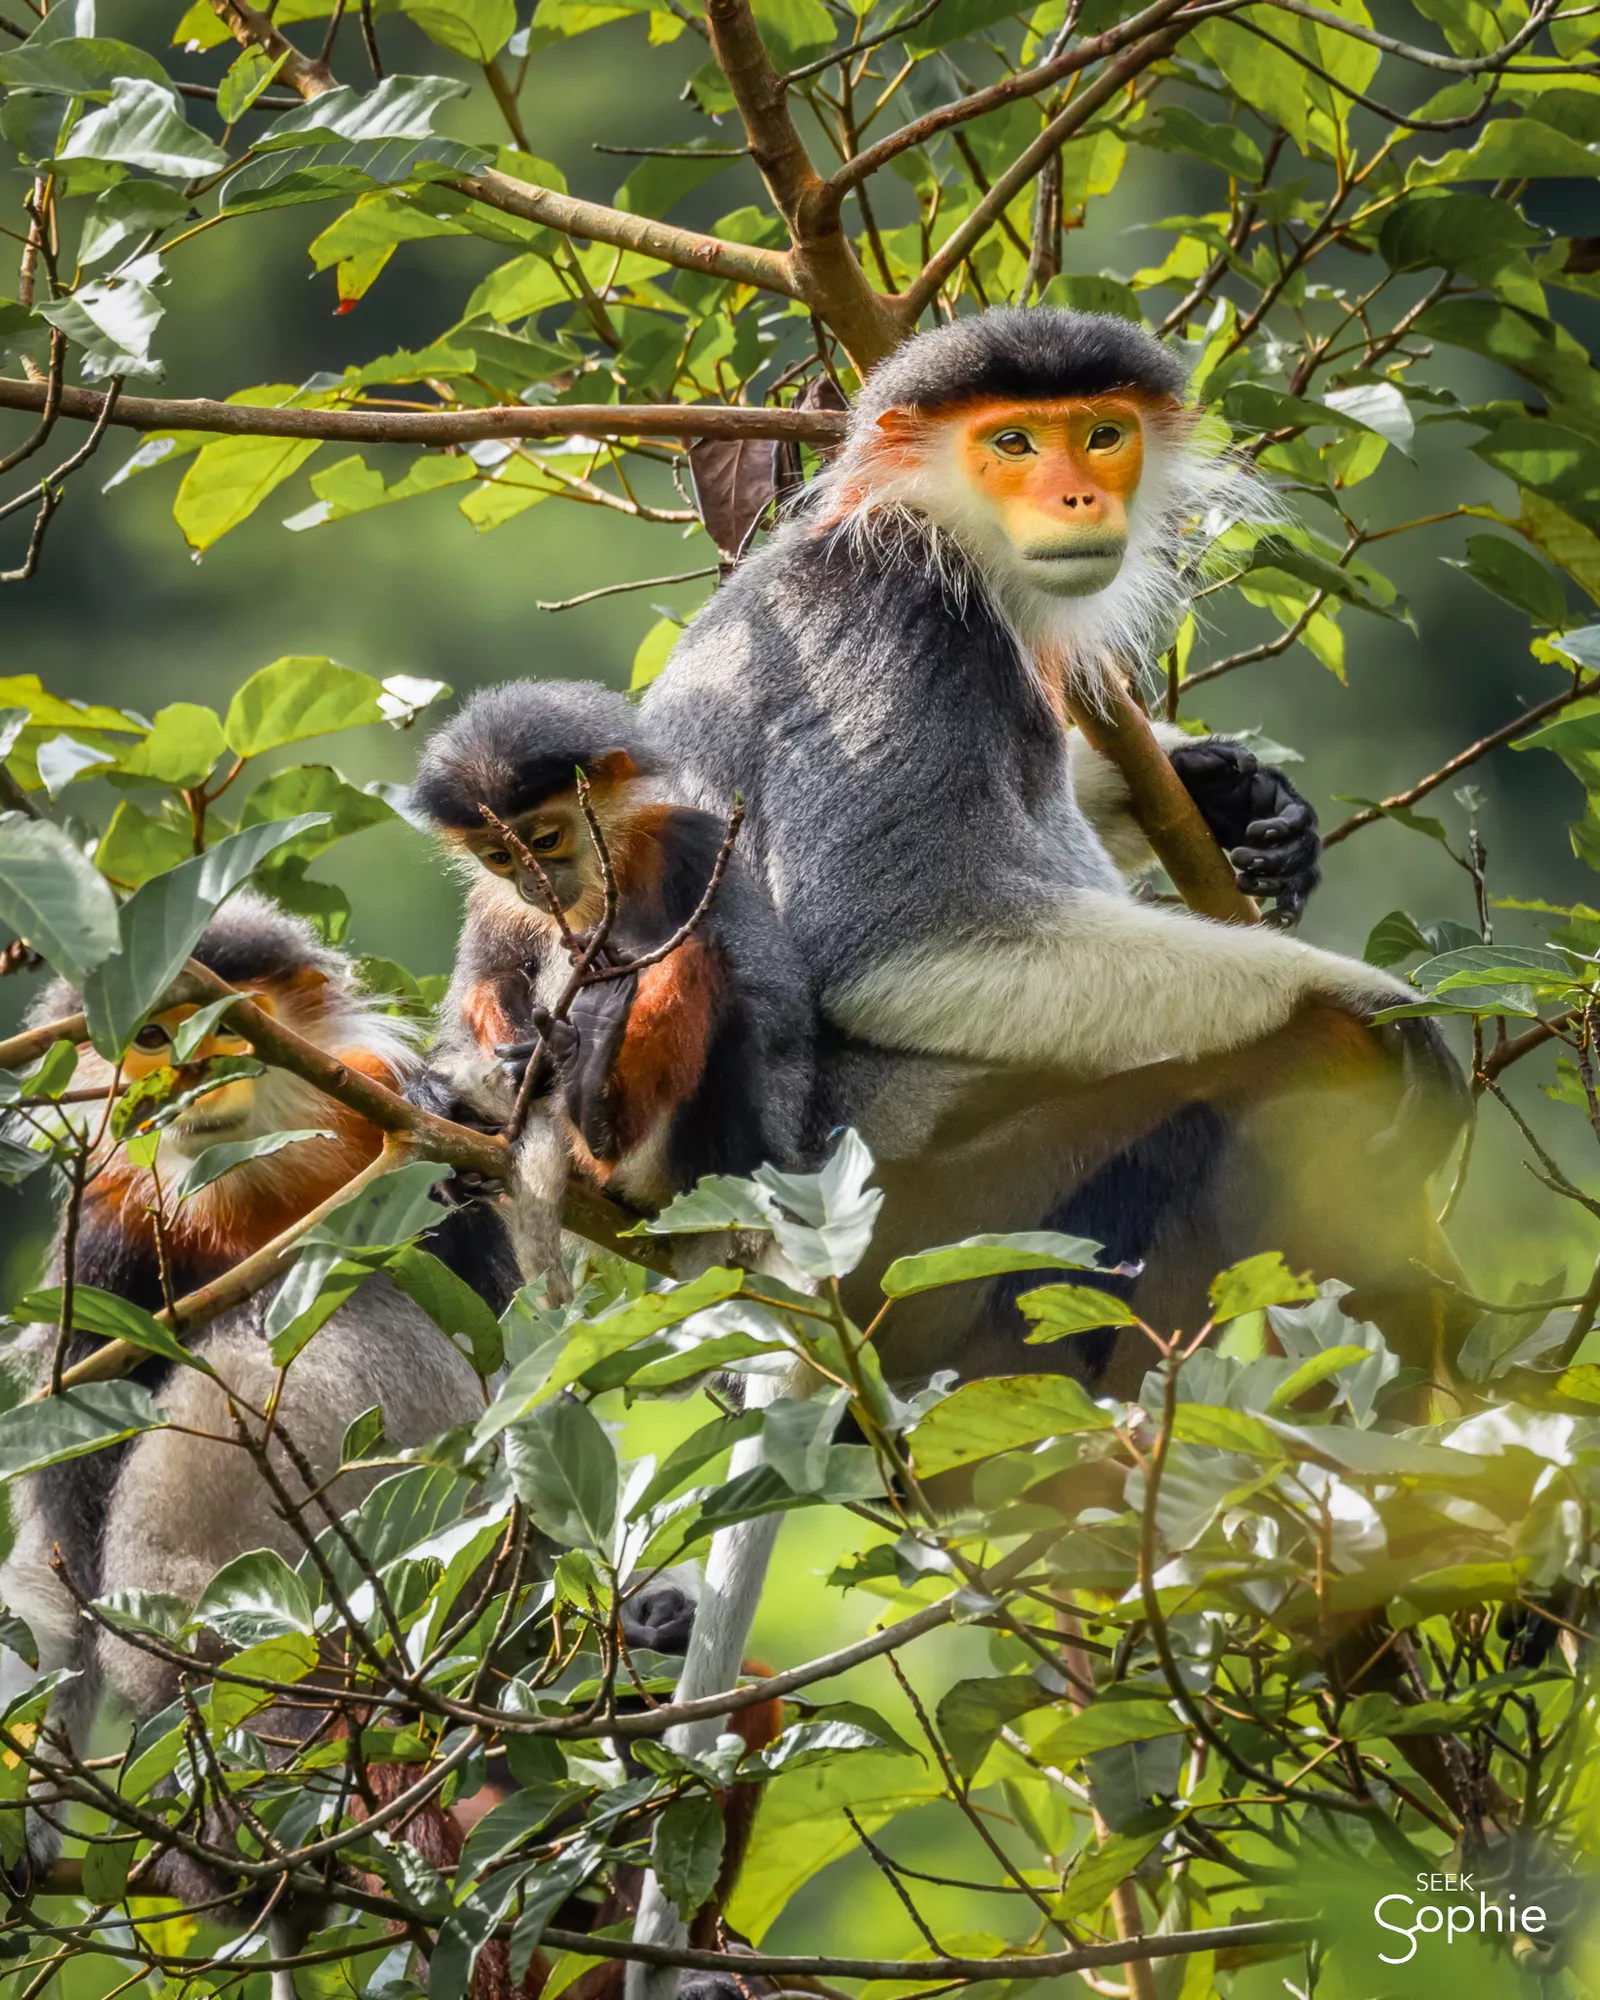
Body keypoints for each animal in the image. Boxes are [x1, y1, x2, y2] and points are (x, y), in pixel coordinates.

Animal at [408, 679, 815, 1242]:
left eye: (545, 841)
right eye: (499, 856)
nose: (533, 885)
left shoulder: (688, 839)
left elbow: (777, 1007)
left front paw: (539, 1067)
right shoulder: (490, 902)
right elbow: (472, 998)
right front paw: (435, 1094)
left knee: (700, 956)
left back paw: (594, 1097)